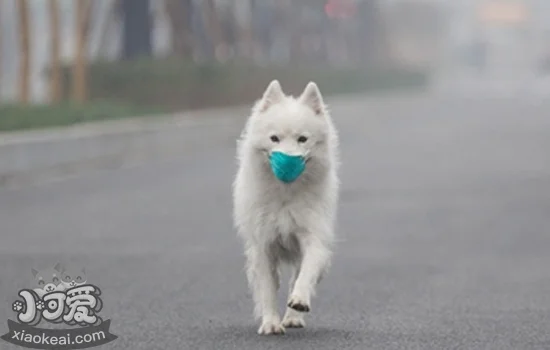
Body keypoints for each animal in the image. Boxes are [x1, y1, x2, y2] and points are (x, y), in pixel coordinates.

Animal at [233, 80, 340, 334]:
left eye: (303, 139)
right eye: (274, 139)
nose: (288, 162)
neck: (285, 195)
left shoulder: (313, 237)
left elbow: (306, 274)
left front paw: (298, 302)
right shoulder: (263, 246)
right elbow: (267, 289)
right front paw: (271, 323)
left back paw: (293, 317)